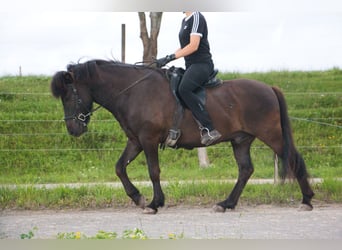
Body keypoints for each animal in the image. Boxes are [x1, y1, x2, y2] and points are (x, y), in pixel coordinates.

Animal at [49, 59, 314, 214]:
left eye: (69, 95)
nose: (73, 129)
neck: (133, 91)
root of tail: (269, 87)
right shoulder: (135, 141)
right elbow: (119, 168)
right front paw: (137, 198)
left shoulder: (148, 140)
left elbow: (153, 171)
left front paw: (154, 203)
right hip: (241, 140)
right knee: (246, 170)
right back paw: (226, 204)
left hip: (272, 135)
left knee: (293, 159)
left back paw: (307, 200)